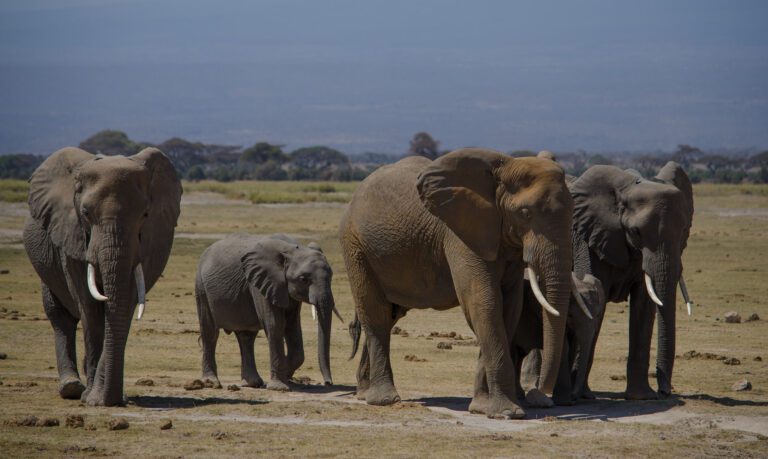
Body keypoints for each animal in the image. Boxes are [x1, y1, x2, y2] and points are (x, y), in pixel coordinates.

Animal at [22, 146, 182, 406]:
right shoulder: (71, 233)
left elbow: (125, 304)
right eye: (85, 212)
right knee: (59, 315)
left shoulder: (148, 241)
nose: (113, 400)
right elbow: (89, 306)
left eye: (145, 214)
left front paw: (103, 398)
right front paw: (93, 399)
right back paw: (71, 388)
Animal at [196, 234, 344, 392]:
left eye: (331, 275)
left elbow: (292, 326)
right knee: (210, 333)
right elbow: (275, 325)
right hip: (201, 287)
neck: (290, 249)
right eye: (303, 279)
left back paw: (252, 383)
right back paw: (211, 383)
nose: (328, 383)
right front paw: (279, 387)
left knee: (246, 337)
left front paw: (284, 376)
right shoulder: (260, 282)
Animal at [342, 148, 576, 420]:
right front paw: (507, 412)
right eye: (525, 213)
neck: (504, 167)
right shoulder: (460, 234)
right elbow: (483, 302)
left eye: (573, 211)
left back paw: (363, 393)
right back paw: (384, 400)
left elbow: (509, 308)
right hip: (355, 245)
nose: (540, 395)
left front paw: (482, 408)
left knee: (389, 314)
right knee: (375, 313)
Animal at [568, 164, 696, 400]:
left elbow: (644, 305)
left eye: (684, 231)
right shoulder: (586, 238)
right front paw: (581, 395)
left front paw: (642, 397)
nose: (665, 391)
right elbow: (595, 301)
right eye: (636, 232)